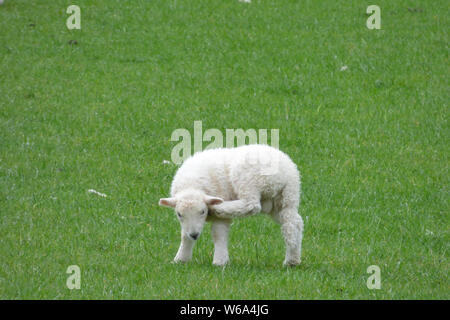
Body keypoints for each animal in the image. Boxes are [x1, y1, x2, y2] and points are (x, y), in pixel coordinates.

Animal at [160, 144, 304, 266]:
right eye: (179, 214)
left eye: (202, 212)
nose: (195, 235)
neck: (192, 185)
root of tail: (284, 173)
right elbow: (185, 235)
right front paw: (181, 259)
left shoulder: (220, 215)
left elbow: (218, 234)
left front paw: (220, 261)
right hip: (285, 197)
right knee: (293, 222)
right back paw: (292, 260)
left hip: (249, 179)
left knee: (252, 205)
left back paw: (221, 207)